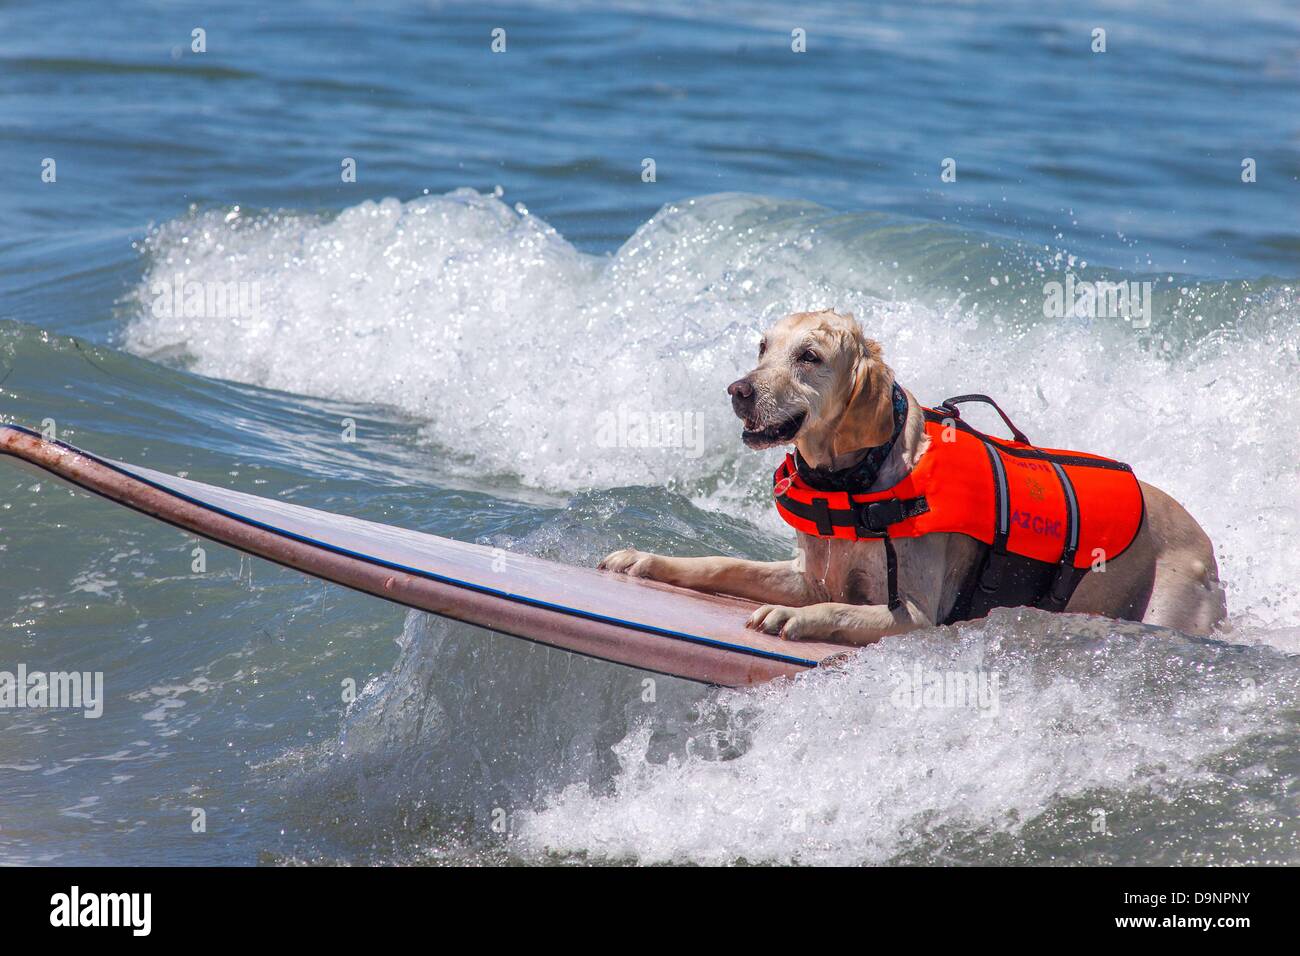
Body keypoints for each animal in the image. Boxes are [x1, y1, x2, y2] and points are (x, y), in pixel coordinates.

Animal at [600, 310, 1227, 647]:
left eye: (809, 356)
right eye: (763, 347)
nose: (738, 391)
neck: (854, 480)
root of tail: (1205, 538)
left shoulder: (918, 616)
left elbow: (838, 611)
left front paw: (791, 618)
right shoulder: (809, 574)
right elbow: (721, 564)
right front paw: (644, 560)